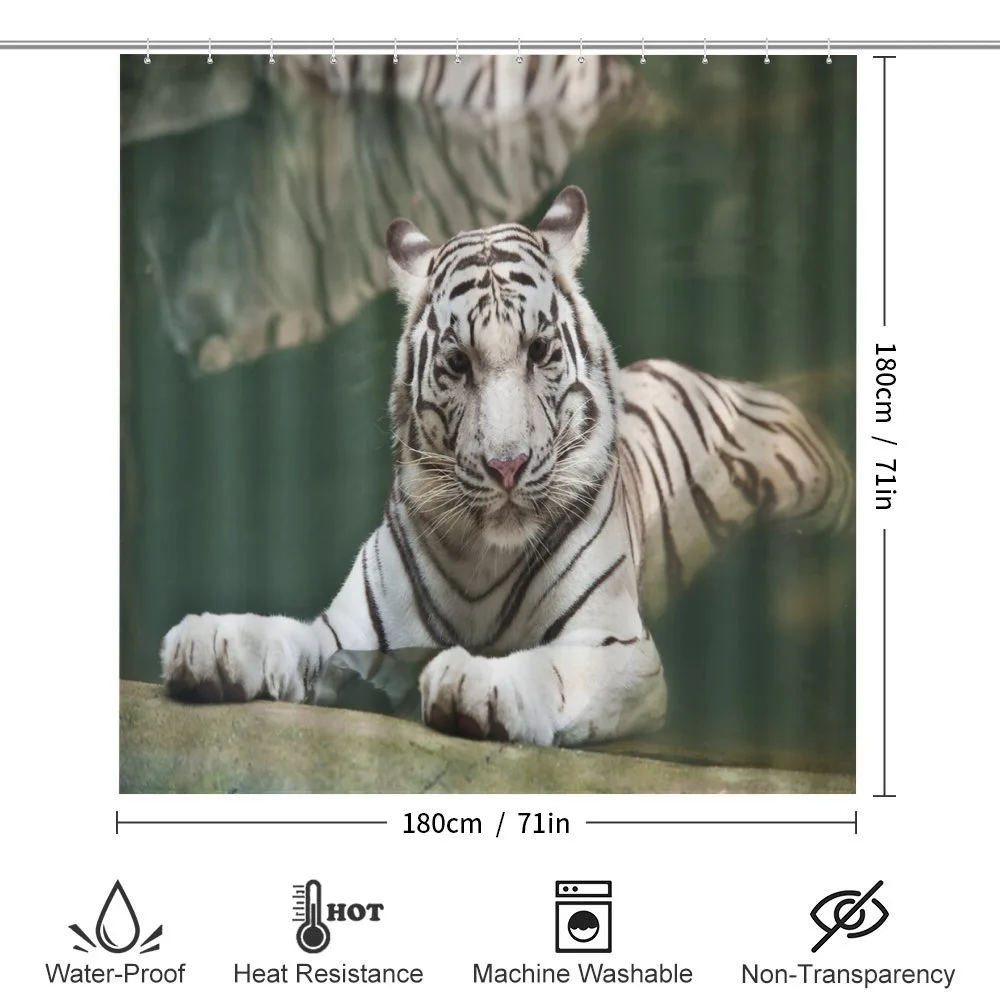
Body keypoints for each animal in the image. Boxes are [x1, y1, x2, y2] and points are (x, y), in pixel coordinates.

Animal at [160, 185, 853, 747]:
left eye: (539, 350)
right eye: (458, 363)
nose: (507, 466)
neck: (480, 556)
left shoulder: (618, 648)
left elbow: (550, 666)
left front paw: (475, 681)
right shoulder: (352, 635)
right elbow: (288, 636)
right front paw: (212, 641)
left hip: (818, 486)